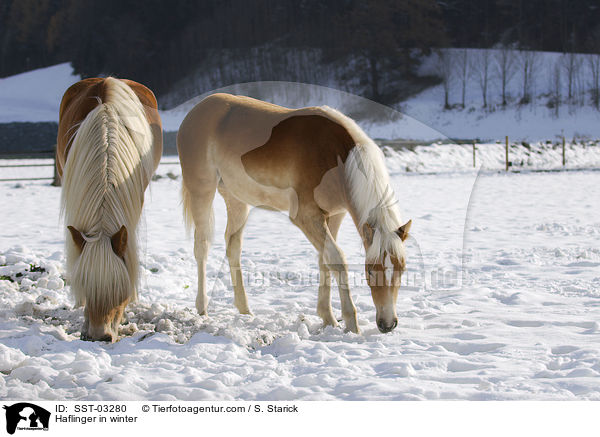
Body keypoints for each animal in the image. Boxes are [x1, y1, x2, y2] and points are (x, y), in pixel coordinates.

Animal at [178, 93, 410, 334]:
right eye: (370, 271)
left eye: (401, 270)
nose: (388, 324)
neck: (335, 156)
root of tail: (198, 109)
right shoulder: (306, 217)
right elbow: (337, 260)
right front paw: (351, 324)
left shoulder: (333, 216)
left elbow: (325, 261)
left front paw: (328, 318)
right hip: (202, 191)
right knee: (202, 247)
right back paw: (202, 308)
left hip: (238, 202)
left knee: (233, 247)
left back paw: (245, 310)